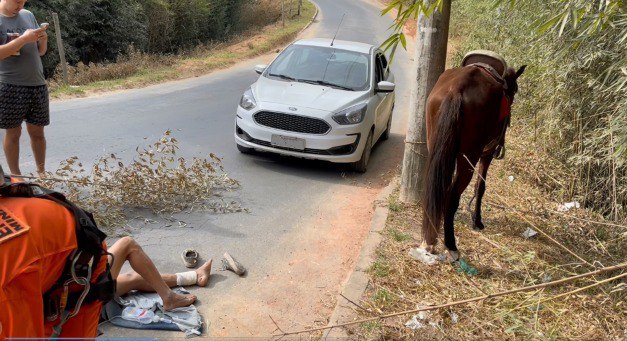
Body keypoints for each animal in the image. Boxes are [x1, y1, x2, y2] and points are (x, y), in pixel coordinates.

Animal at [420, 62, 528, 258]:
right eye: (515, 90)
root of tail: (457, 89)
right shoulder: (487, 153)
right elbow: (481, 186)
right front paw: (477, 221)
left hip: (436, 145)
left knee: (436, 187)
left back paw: (429, 239)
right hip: (468, 156)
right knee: (452, 195)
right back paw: (451, 244)